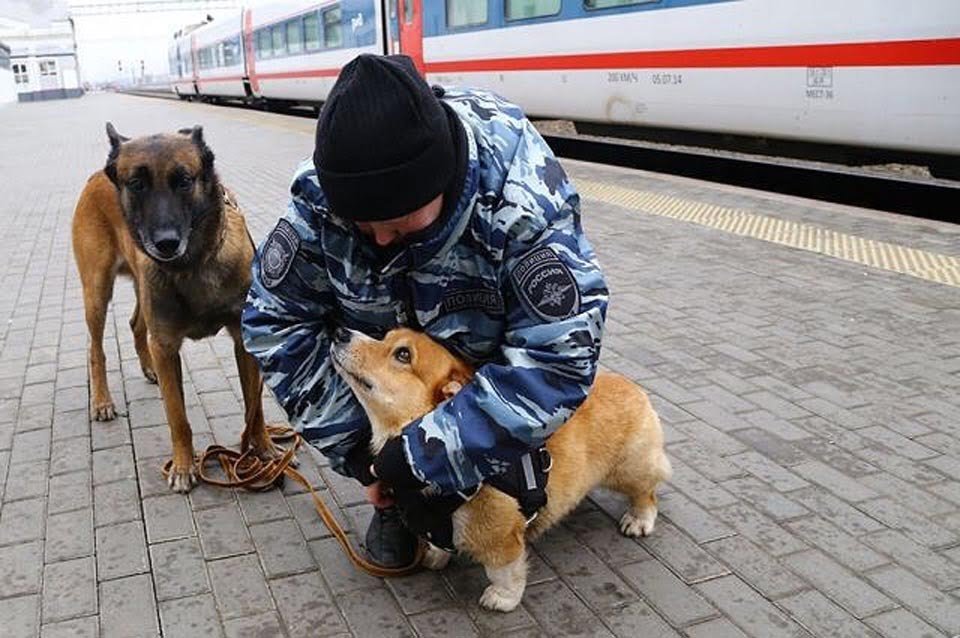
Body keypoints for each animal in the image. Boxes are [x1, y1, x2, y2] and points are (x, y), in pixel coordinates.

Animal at [73, 125, 278, 496]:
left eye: (184, 180)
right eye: (136, 183)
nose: (166, 243)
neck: (193, 265)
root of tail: (96, 175)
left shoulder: (243, 343)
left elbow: (253, 409)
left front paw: (263, 449)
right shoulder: (167, 346)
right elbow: (178, 417)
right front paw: (184, 466)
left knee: (136, 325)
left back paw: (147, 368)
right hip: (96, 292)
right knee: (96, 349)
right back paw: (102, 400)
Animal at [334, 330, 672, 616]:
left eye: (403, 354)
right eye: (385, 335)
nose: (339, 332)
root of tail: (634, 387)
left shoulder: (500, 536)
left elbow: (504, 571)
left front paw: (502, 598)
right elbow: (439, 542)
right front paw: (434, 555)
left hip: (629, 468)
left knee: (647, 493)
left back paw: (638, 520)